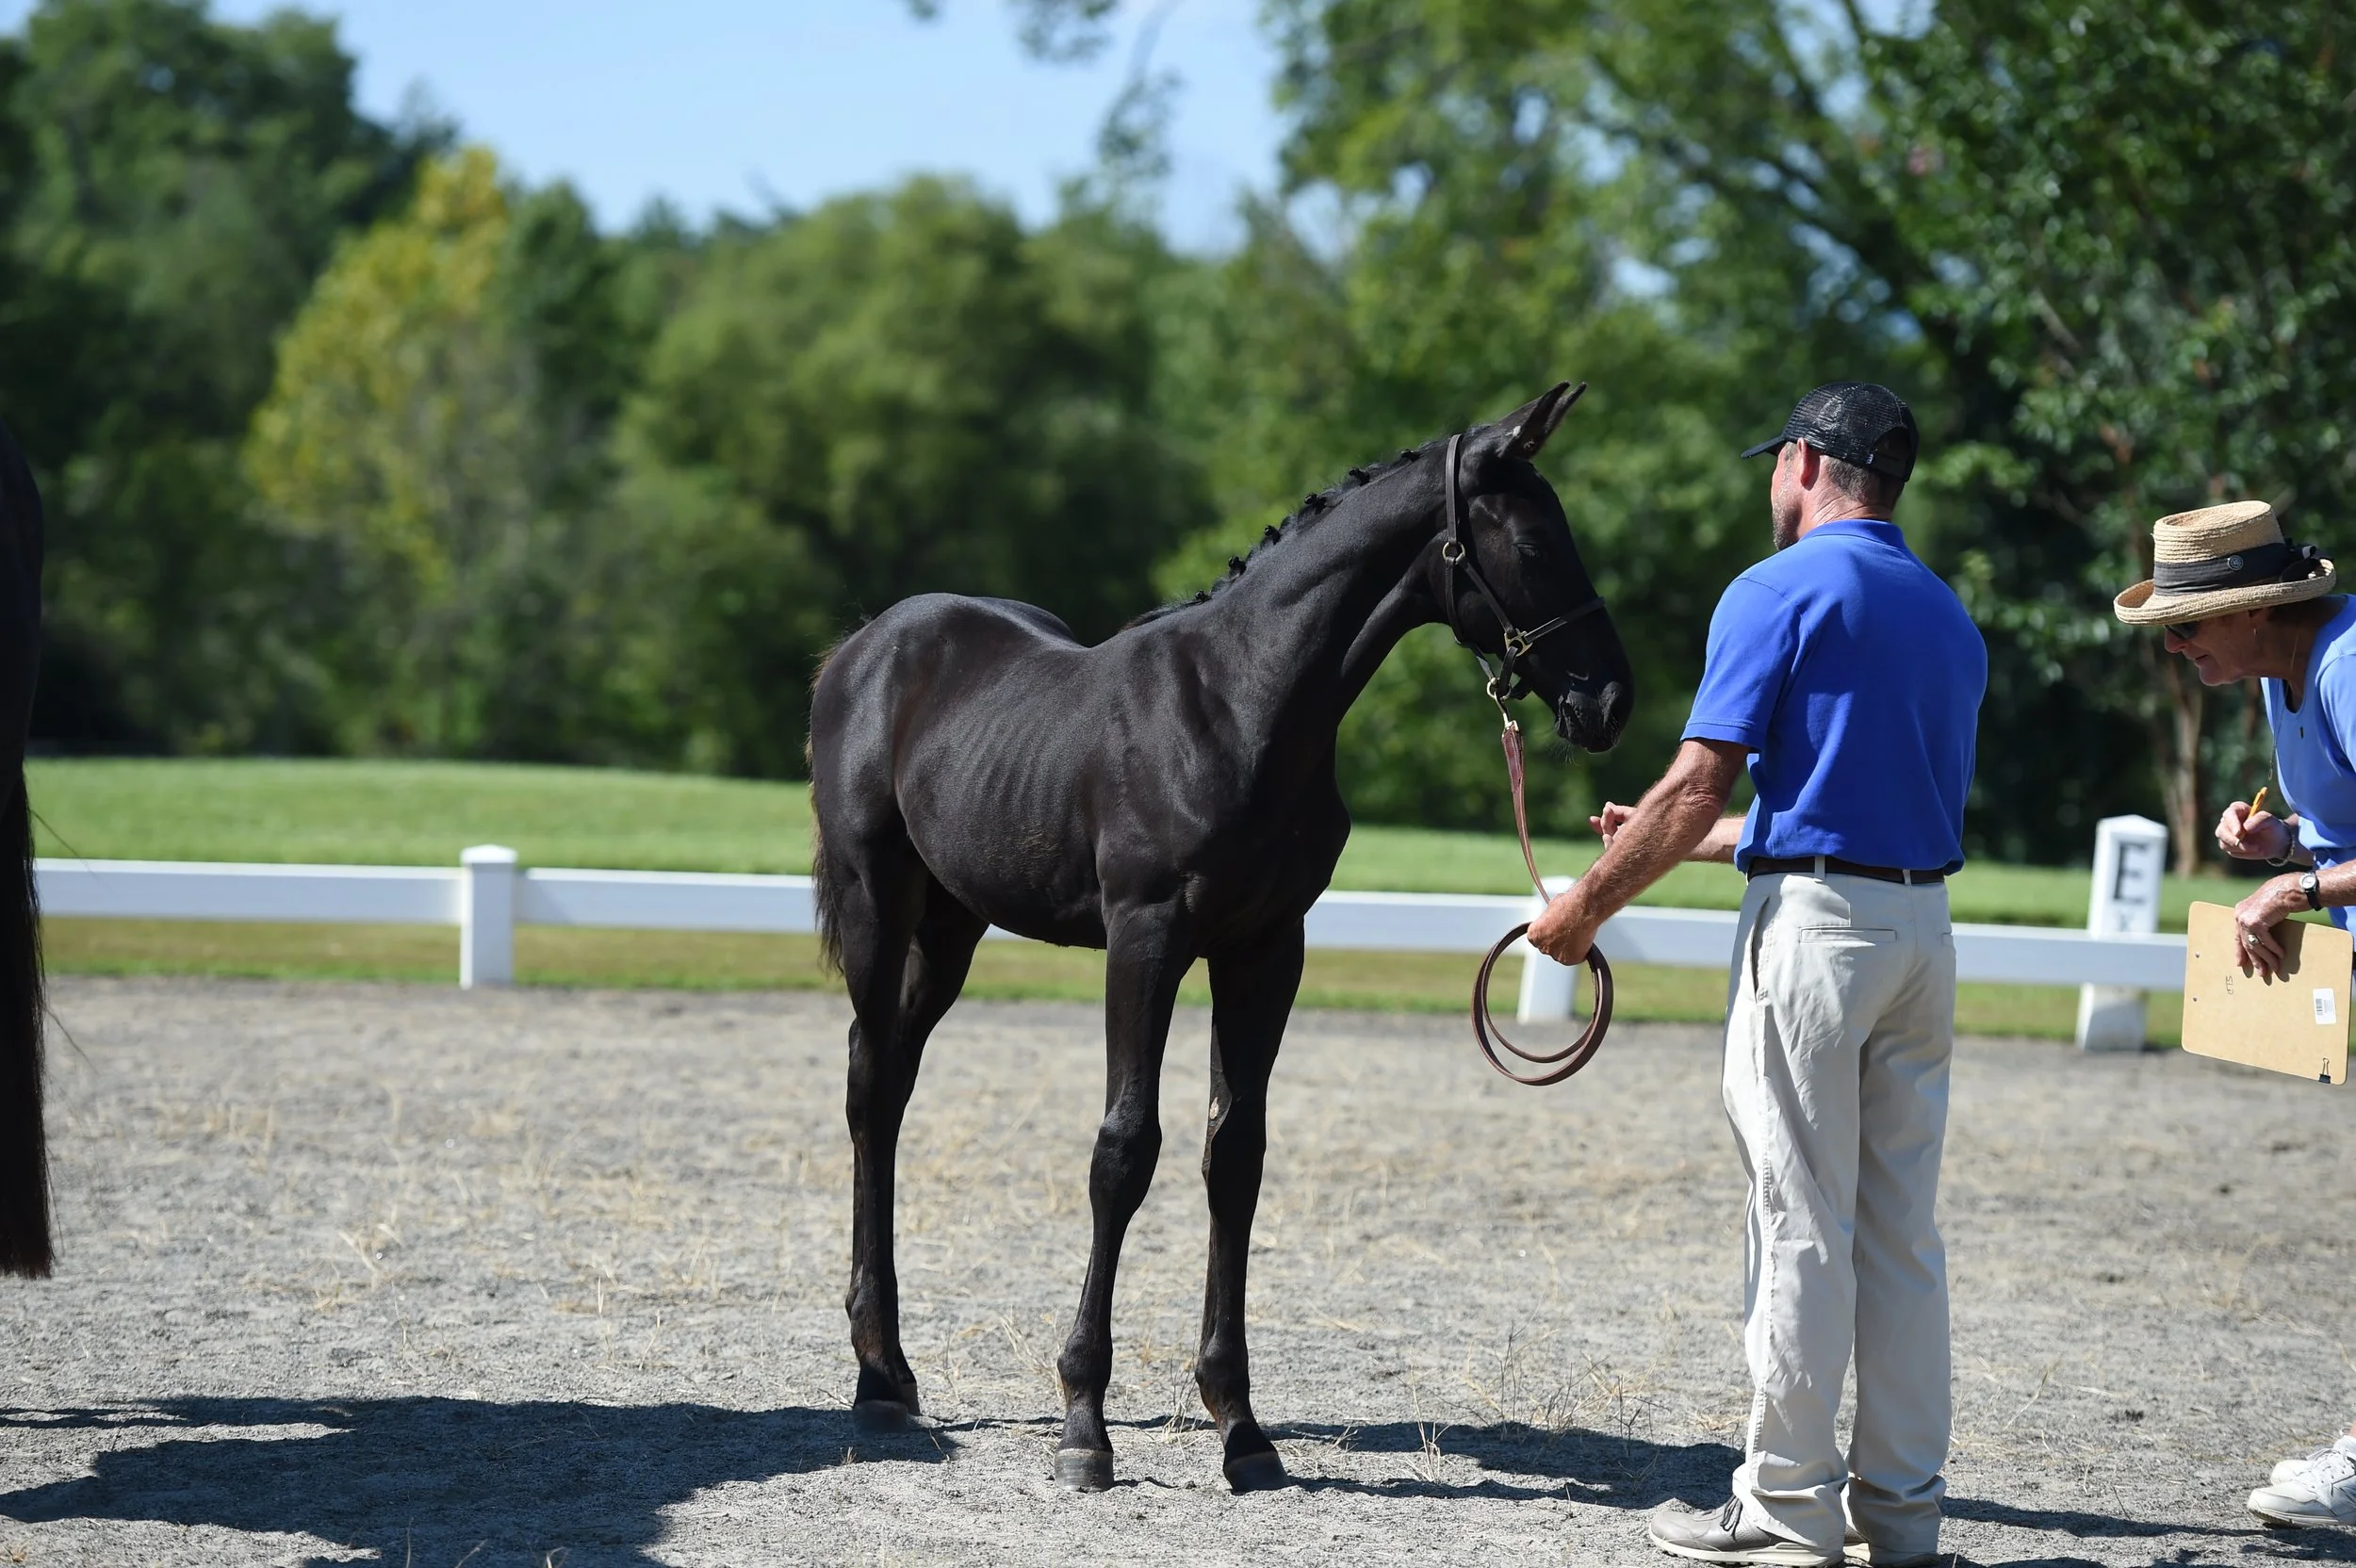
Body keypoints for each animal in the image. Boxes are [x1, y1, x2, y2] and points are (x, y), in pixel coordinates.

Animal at [806, 381, 1631, 1492]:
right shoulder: (1145, 938)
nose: (1609, 700)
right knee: (867, 1087)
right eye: (1537, 540)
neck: (1243, 705)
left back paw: (894, 1369)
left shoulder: (1265, 948)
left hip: (952, 926)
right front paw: (1083, 1424)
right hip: (877, 901)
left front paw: (1241, 1424)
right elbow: (1124, 1150)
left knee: (892, 1082)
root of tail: (863, 646)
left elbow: (1233, 1154)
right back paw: (874, 1377)